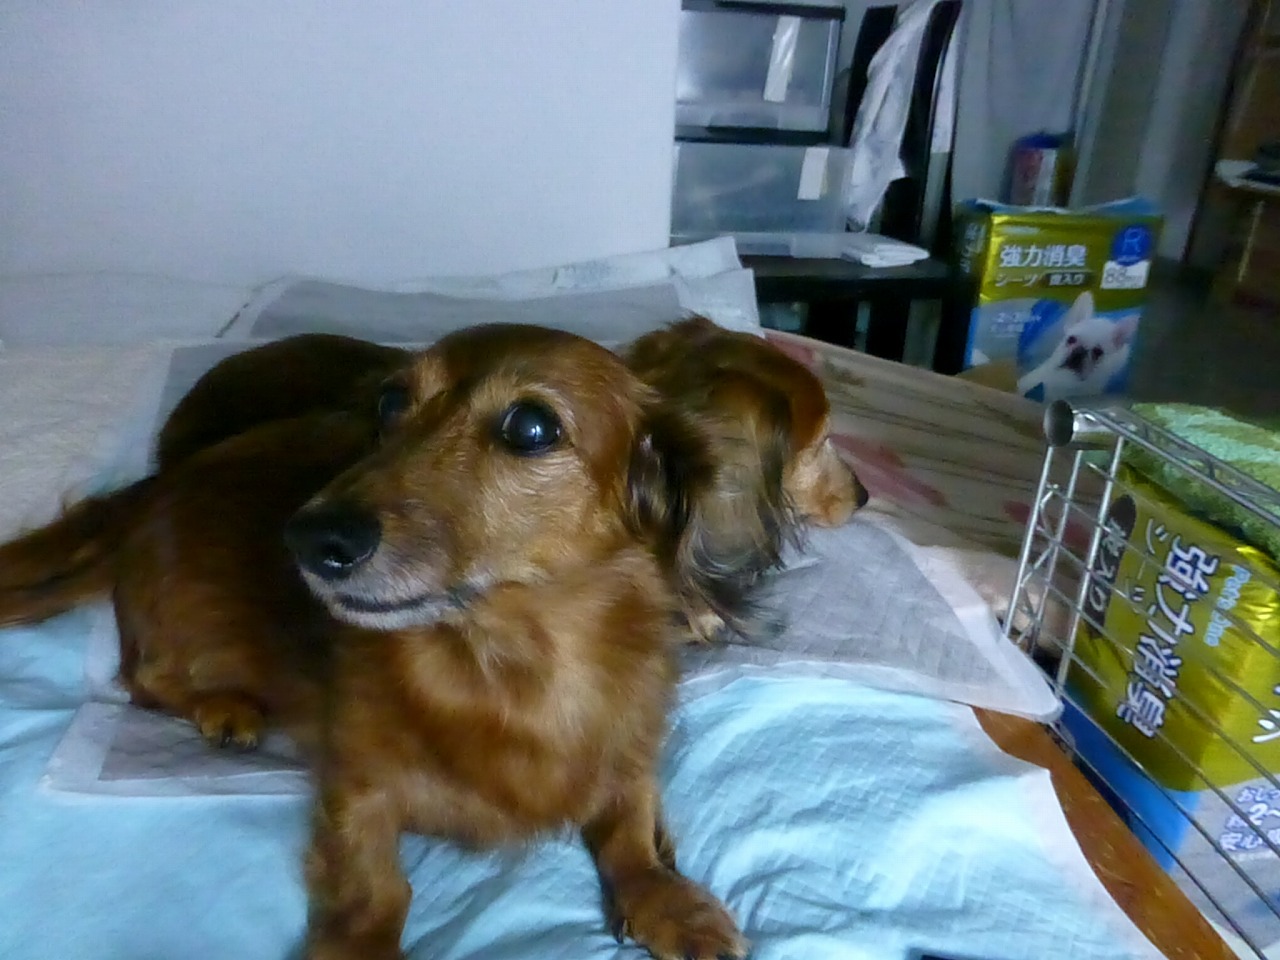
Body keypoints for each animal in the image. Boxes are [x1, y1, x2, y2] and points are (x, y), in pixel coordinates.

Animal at [0, 324, 747, 960]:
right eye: (391, 402)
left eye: (531, 426)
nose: (310, 539)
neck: (510, 669)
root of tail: (148, 495)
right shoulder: (355, 785)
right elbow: (374, 886)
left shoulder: (627, 751)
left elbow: (628, 826)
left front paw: (665, 898)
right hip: (182, 623)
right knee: (143, 679)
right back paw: (224, 707)